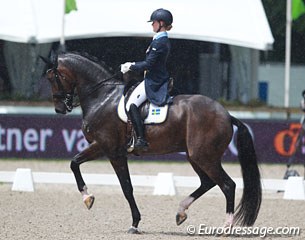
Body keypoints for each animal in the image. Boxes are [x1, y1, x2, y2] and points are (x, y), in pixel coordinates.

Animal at [39, 51, 262, 233]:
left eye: (52, 77)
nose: (60, 108)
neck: (103, 97)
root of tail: (227, 114)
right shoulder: (103, 147)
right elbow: (74, 162)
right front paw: (87, 198)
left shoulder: (111, 150)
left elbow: (126, 188)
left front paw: (134, 223)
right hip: (195, 156)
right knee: (207, 182)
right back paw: (181, 212)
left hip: (204, 156)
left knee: (227, 185)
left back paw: (226, 227)